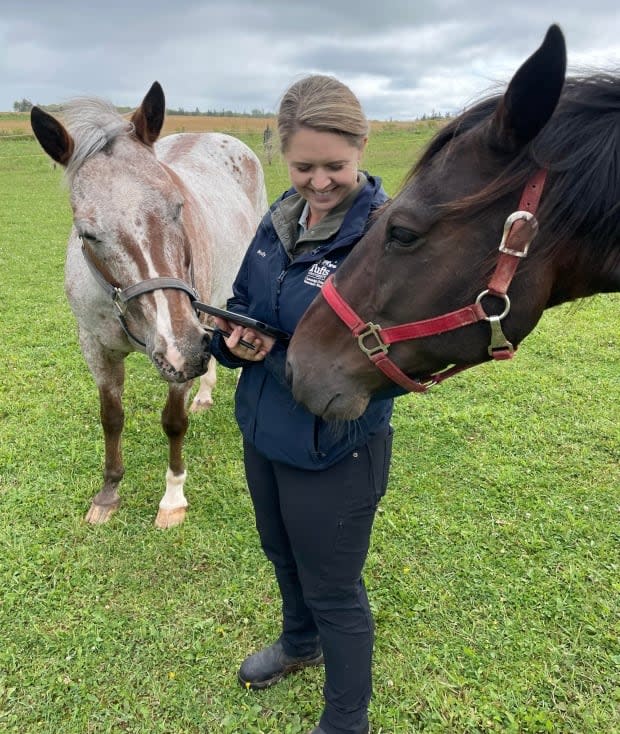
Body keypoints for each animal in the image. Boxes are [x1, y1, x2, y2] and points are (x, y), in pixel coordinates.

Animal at [31, 80, 268, 528]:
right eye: (87, 233)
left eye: (177, 207)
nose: (181, 350)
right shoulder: (97, 349)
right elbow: (111, 417)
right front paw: (108, 493)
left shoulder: (184, 348)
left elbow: (174, 422)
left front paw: (173, 498)